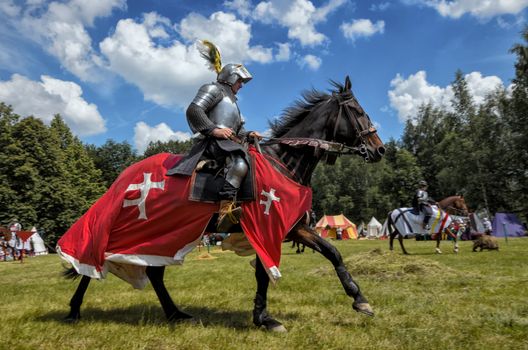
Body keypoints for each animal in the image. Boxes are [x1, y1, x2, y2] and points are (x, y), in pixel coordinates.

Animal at [63, 76, 384, 330]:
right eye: (357, 111)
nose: (379, 149)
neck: (284, 162)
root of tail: (123, 178)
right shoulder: (265, 227)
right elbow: (264, 274)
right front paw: (265, 319)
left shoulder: (292, 229)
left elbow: (332, 253)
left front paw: (360, 300)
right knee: (94, 258)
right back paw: (74, 309)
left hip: (165, 235)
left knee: (153, 272)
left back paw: (175, 313)